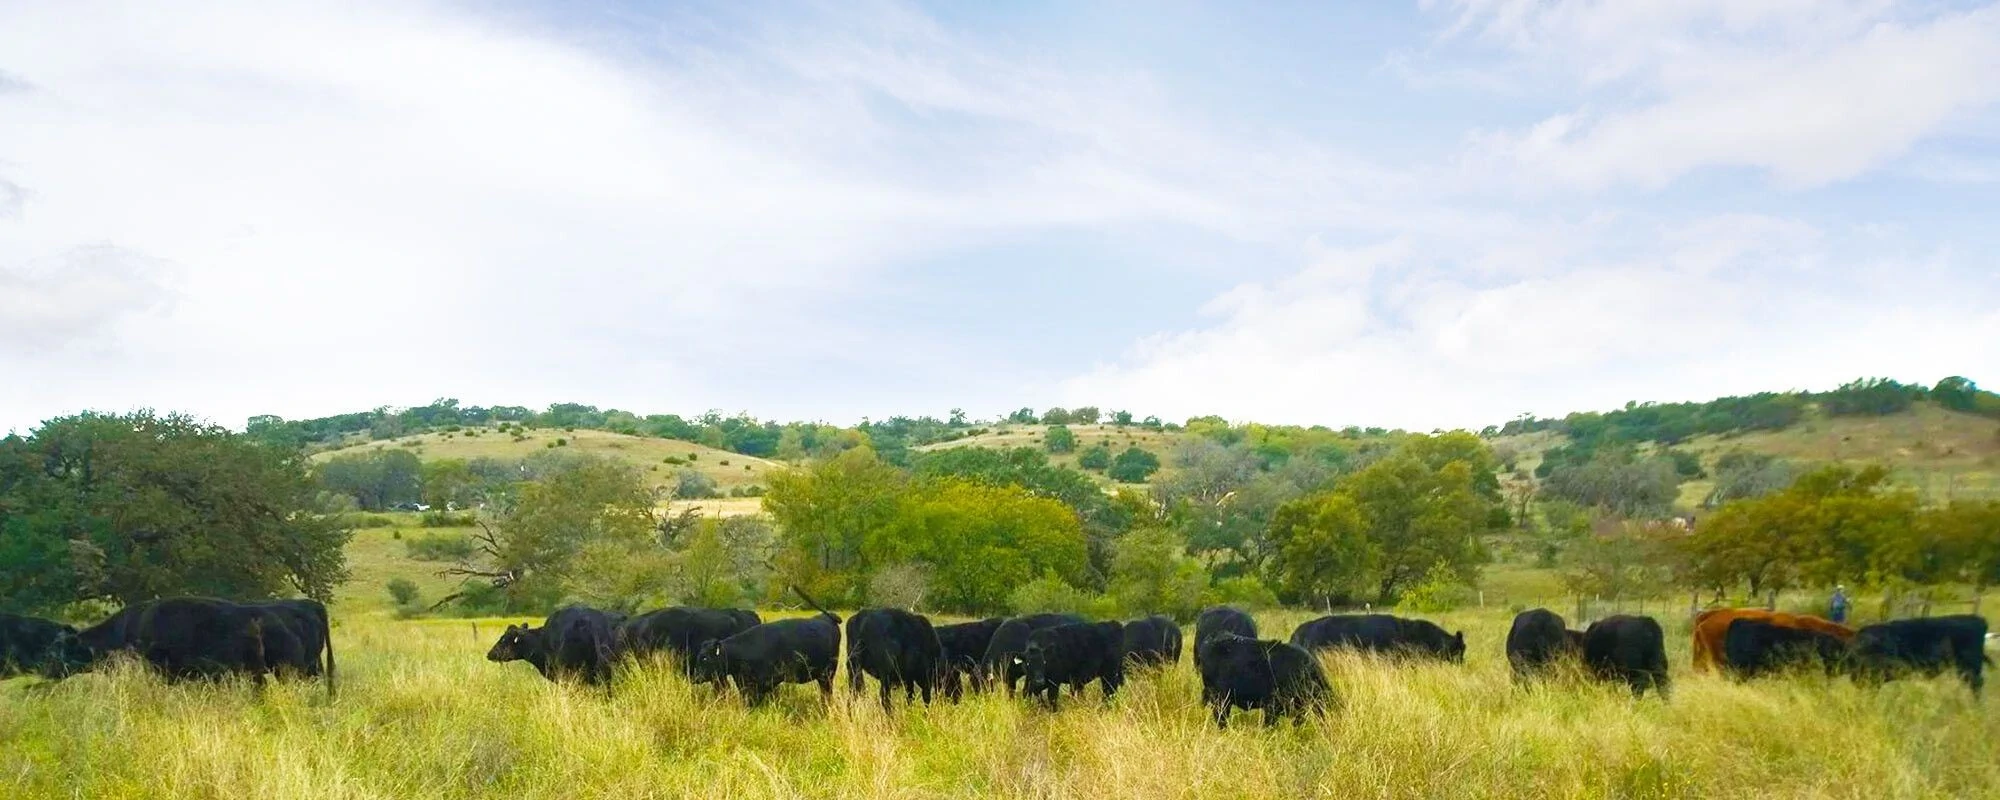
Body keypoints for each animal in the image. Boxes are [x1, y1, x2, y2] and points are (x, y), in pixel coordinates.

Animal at [692, 588, 842, 706]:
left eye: (704, 658)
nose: (694, 678)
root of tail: (827, 617)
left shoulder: (765, 683)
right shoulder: (745, 685)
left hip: (828, 674)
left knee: (826, 693)